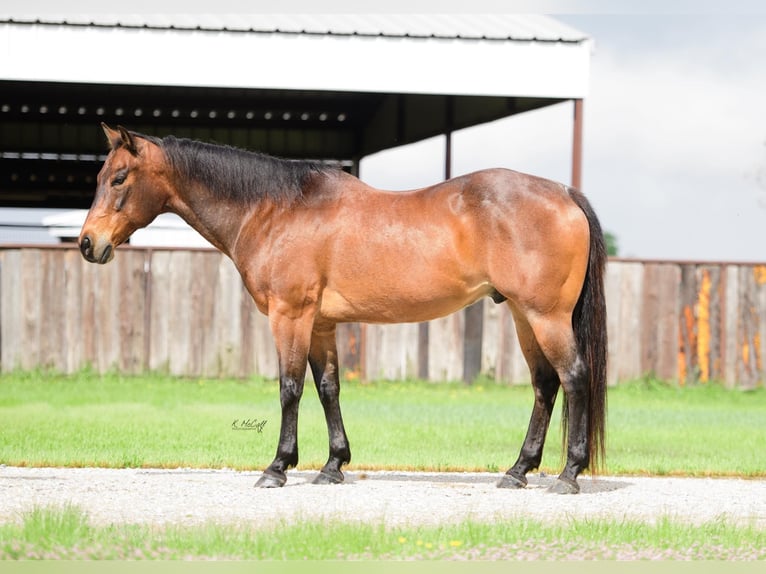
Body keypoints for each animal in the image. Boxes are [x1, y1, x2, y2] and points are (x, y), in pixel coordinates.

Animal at [76, 125, 608, 496]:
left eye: (119, 178)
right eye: (99, 177)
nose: (87, 243)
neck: (277, 210)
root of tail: (563, 192)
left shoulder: (290, 316)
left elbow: (290, 388)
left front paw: (277, 468)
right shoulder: (321, 325)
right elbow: (328, 389)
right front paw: (333, 466)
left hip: (545, 316)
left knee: (574, 377)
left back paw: (568, 474)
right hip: (523, 316)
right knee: (545, 385)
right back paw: (518, 471)